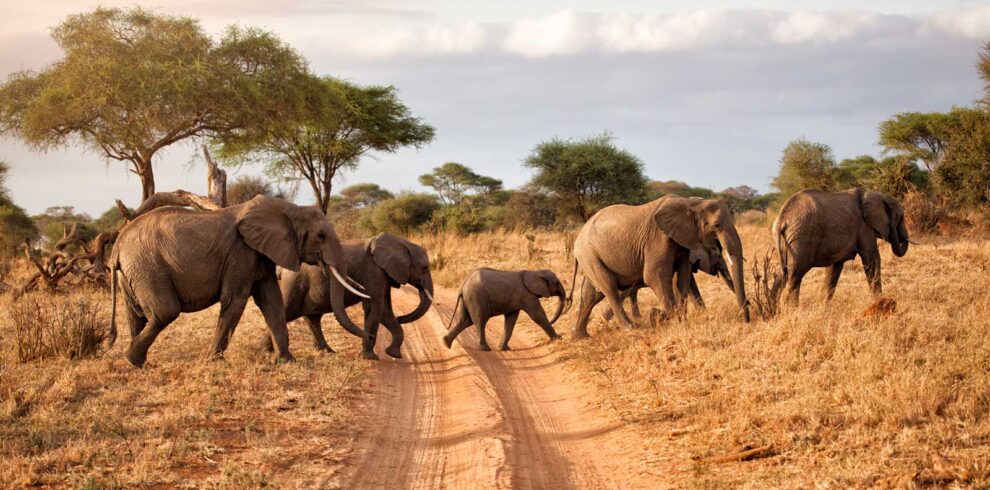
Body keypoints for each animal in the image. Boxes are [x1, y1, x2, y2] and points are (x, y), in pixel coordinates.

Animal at [108, 195, 370, 368]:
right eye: (321, 236)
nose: (369, 338)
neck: (289, 209)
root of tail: (118, 245)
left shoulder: (262, 254)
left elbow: (273, 303)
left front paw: (286, 361)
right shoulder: (241, 252)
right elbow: (235, 300)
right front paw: (213, 362)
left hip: (133, 272)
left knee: (136, 315)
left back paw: (139, 364)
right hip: (148, 267)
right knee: (164, 312)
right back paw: (132, 359)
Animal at [276, 232, 438, 362]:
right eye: (425, 268)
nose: (401, 317)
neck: (402, 243)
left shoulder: (383, 275)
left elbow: (385, 312)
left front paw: (393, 354)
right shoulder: (374, 273)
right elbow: (376, 309)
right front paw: (371, 357)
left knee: (313, 318)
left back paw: (328, 352)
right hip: (294, 283)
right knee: (287, 312)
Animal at [568, 195, 748, 336]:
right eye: (717, 225)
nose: (745, 319)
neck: (691, 203)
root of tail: (578, 240)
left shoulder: (683, 242)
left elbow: (683, 278)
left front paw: (680, 318)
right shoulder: (658, 237)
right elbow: (654, 275)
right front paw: (660, 316)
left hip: (591, 257)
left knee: (591, 294)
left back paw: (580, 336)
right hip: (590, 255)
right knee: (609, 288)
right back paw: (630, 327)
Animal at [776, 186, 916, 304]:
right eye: (900, 217)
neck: (877, 195)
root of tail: (781, 219)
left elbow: (834, 267)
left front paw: (824, 306)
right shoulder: (864, 228)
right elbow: (872, 259)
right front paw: (880, 301)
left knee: (783, 275)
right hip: (801, 238)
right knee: (795, 275)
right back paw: (792, 309)